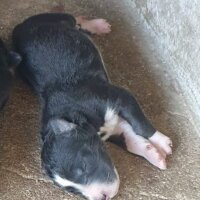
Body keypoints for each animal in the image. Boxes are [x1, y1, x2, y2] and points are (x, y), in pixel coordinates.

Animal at [12, 13, 172, 199]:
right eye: (73, 190)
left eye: (84, 167)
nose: (102, 197)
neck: (76, 113)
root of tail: (20, 26)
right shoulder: (113, 129)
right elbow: (131, 141)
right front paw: (155, 155)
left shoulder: (119, 97)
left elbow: (141, 126)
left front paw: (162, 143)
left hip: (55, 18)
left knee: (76, 18)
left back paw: (98, 25)